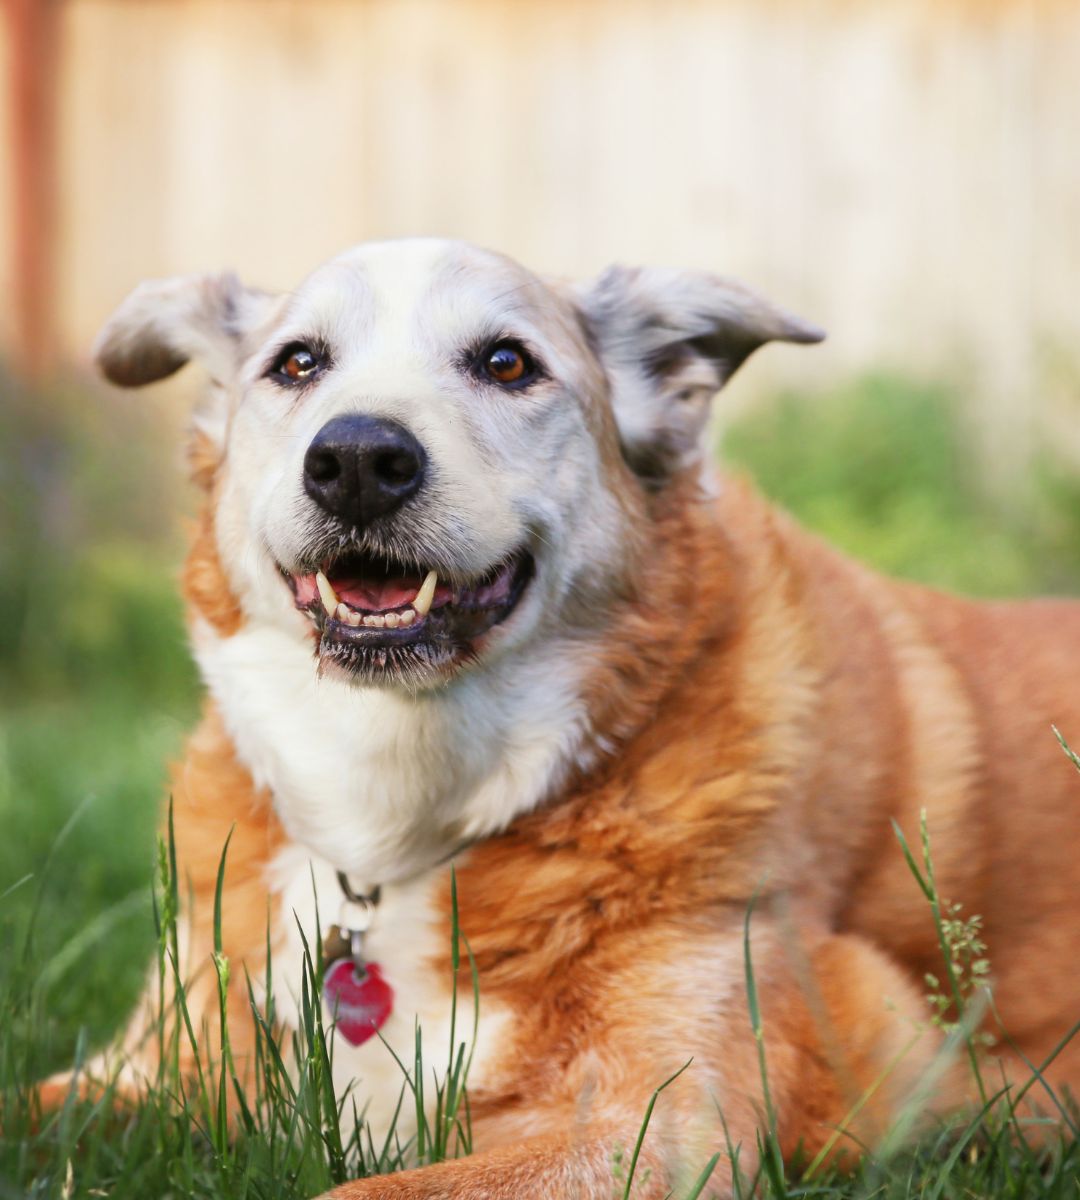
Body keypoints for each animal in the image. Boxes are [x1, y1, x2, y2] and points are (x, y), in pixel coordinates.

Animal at [65, 238, 1080, 1195]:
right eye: (298, 363)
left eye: (507, 362)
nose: (354, 460)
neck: (397, 834)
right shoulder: (137, 1072)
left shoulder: (653, 1131)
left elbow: (362, 1193)